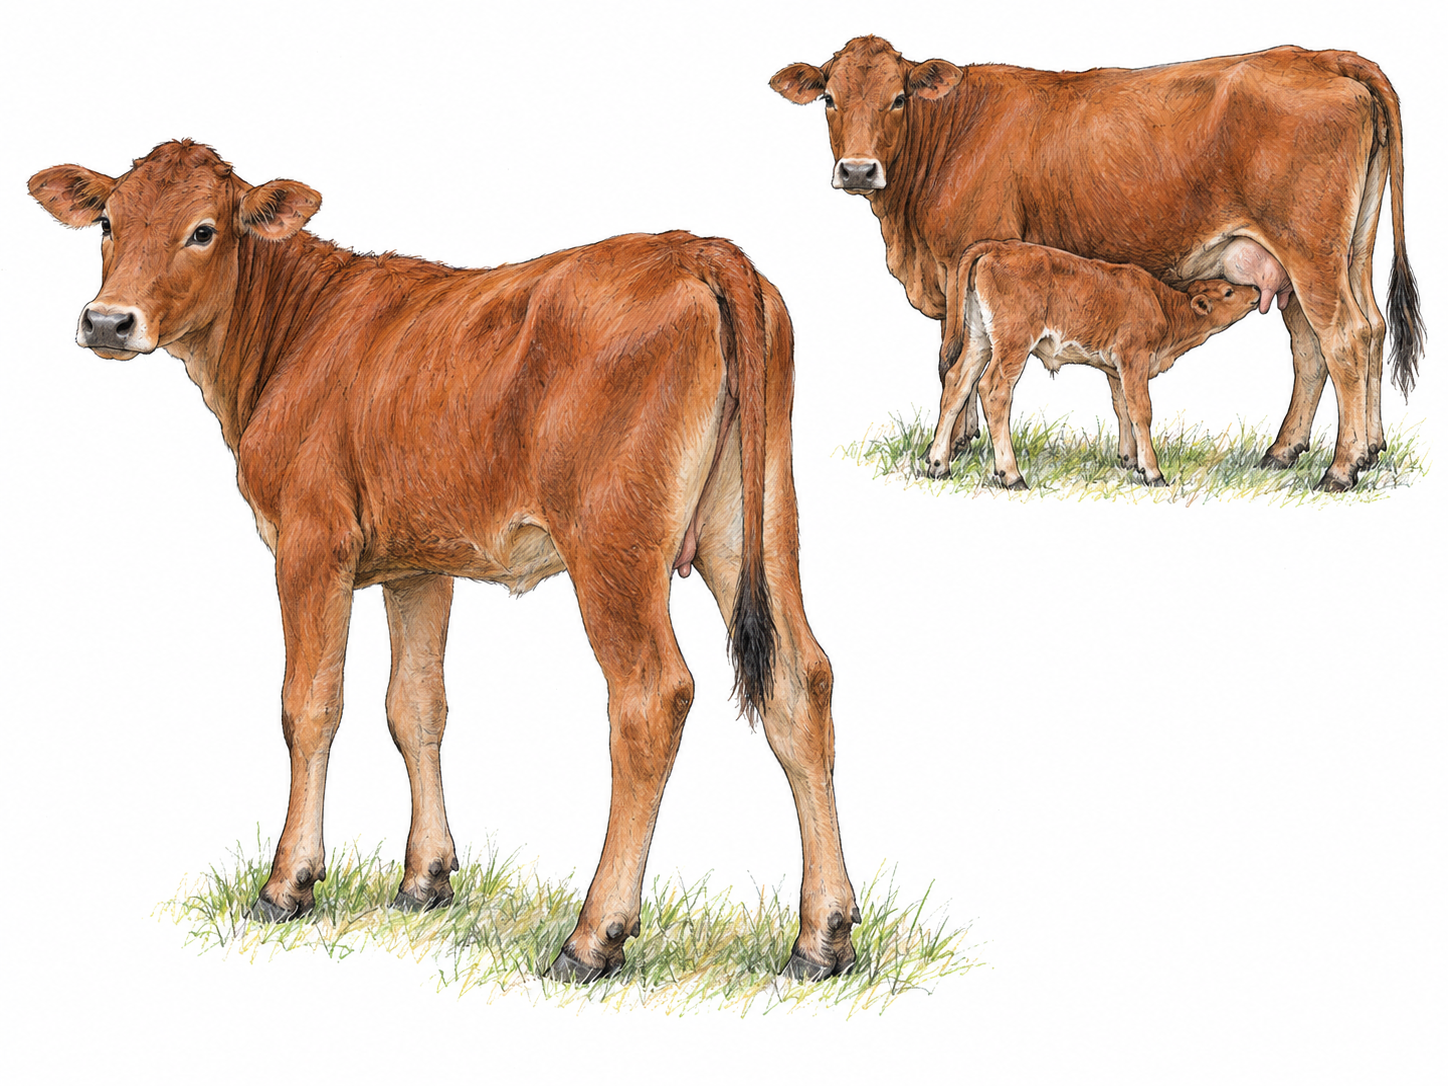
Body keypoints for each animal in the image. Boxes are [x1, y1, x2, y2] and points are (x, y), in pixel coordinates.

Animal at [28, 140, 859, 982]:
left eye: (203, 230)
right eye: (107, 220)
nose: (107, 320)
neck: (294, 333)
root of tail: (697, 247)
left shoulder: (311, 539)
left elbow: (310, 704)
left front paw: (288, 882)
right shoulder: (417, 564)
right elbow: (416, 706)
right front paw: (425, 878)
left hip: (613, 540)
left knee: (651, 696)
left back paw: (593, 936)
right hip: (755, 523)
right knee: (801, 680)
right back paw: (821, 937)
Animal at [923, 241, 1260, 486]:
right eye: (1229, 291)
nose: (1256, 289)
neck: (1163, 305)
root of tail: (995, 246)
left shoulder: (1116, 368)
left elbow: (1122, 407)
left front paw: (1129, 461)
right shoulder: (1134, 358)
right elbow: (1141, 411)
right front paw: (1152, 472)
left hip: (978, 339)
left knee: (956, 383)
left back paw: (939, 465)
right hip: (1013, 344)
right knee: (993, 390)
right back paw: (1012, 475)